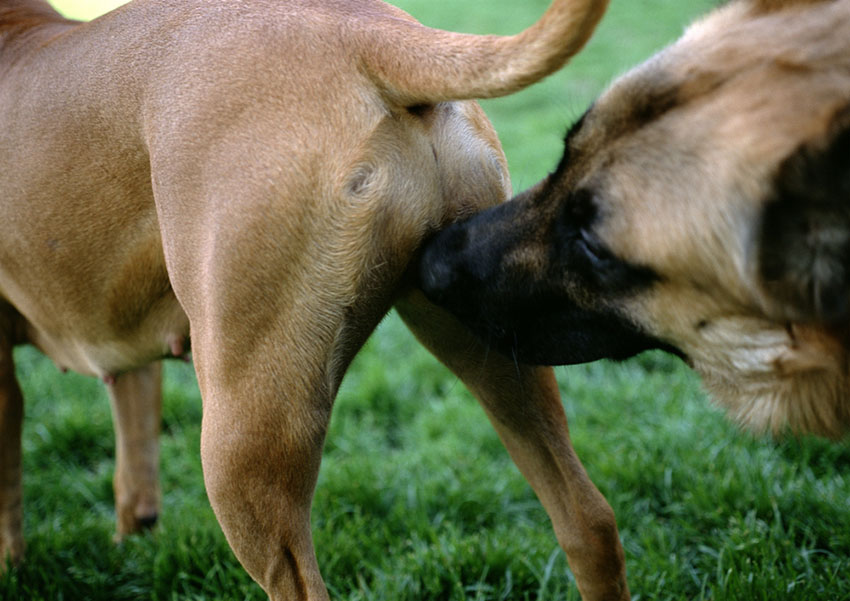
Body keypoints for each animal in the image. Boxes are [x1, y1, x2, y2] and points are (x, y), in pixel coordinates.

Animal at [0, 3, 636, 600]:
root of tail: (362, 29)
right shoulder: (124, 354)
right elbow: (134, 473)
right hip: (492, 346)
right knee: (588, 520)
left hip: (242, 436)